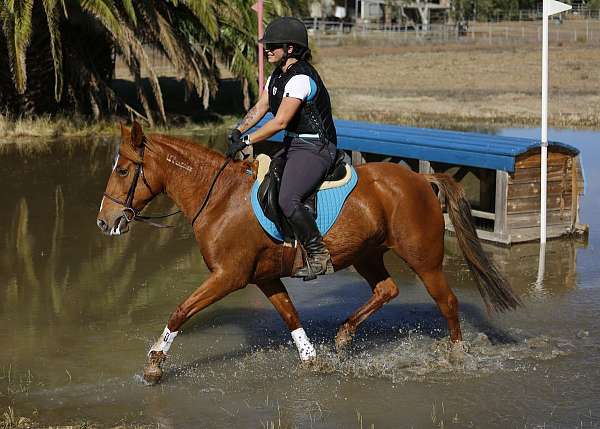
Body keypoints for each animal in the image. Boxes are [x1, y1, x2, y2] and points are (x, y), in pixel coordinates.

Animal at [96, 122, 516, 382]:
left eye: (123, 170)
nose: (105, 222)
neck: (219, 197)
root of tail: (420, 177)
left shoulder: (228, 276)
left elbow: (181, 310)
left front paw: (154, 366)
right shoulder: (264, 277)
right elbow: (290, 316)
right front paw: (313, 361)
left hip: (424, 261)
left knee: (447, 302)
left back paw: (457, 356)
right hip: (366, 254)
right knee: (387, 289)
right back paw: (344, 336)